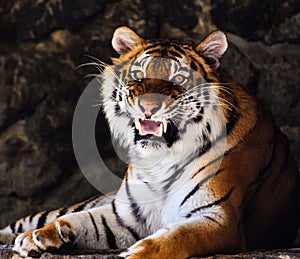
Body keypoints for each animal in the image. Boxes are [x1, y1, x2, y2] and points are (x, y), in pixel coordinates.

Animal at [0, 25, 298, 258]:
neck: (161, 161)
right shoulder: (126, 215)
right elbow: (83, 221)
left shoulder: (218, 218)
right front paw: (40, 236)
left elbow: (176, 238)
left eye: (179, 78)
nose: (149, 107)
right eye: (138, 75)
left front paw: (137, 253)